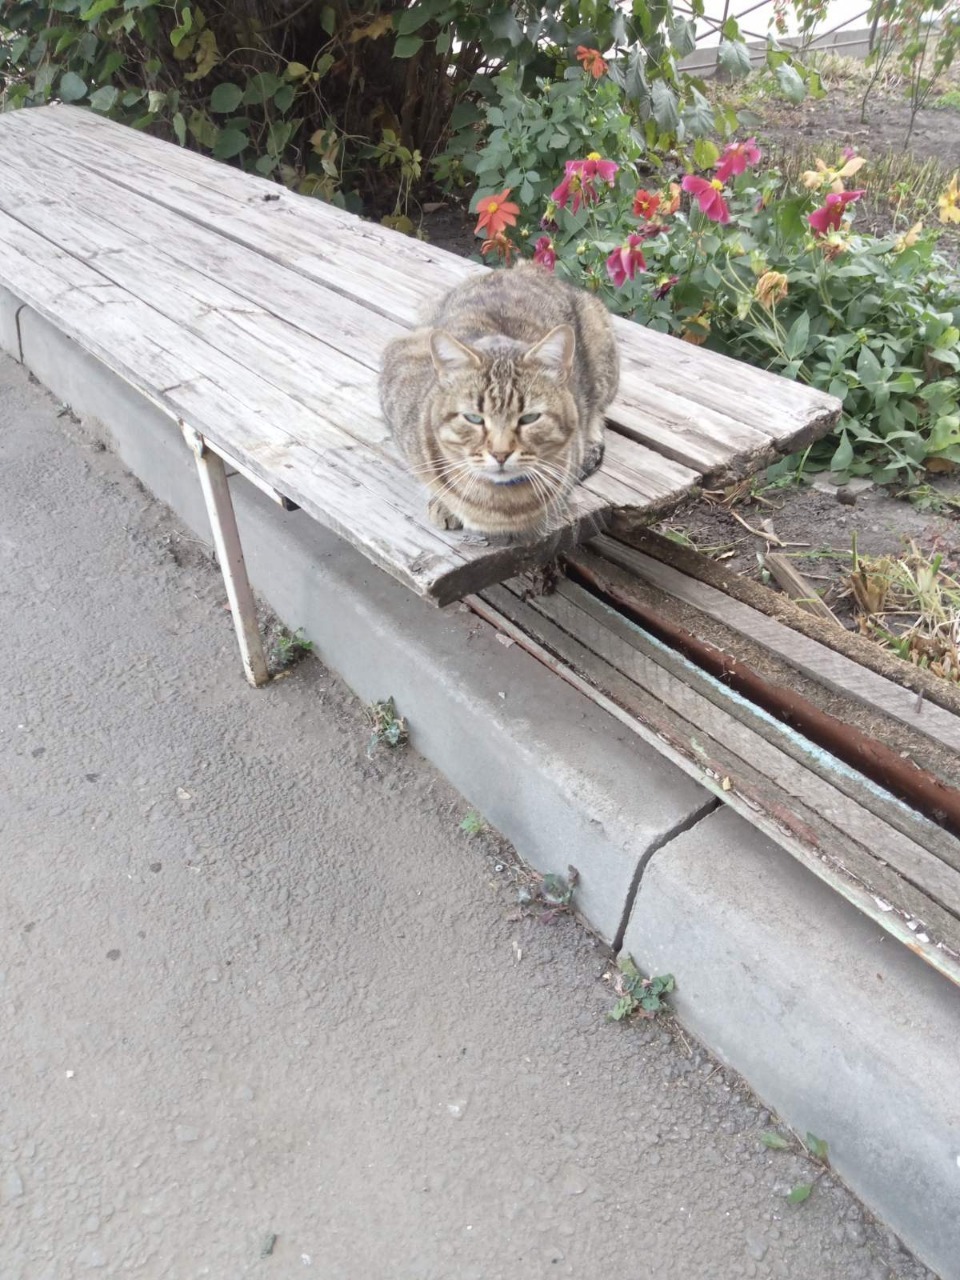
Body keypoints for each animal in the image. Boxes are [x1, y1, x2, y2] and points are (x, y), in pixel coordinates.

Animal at [378, 262, 619, 537]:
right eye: (473, 418)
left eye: (529, 418)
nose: (500, 454)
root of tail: (525, 268)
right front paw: (445, 503)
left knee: (598, 413)